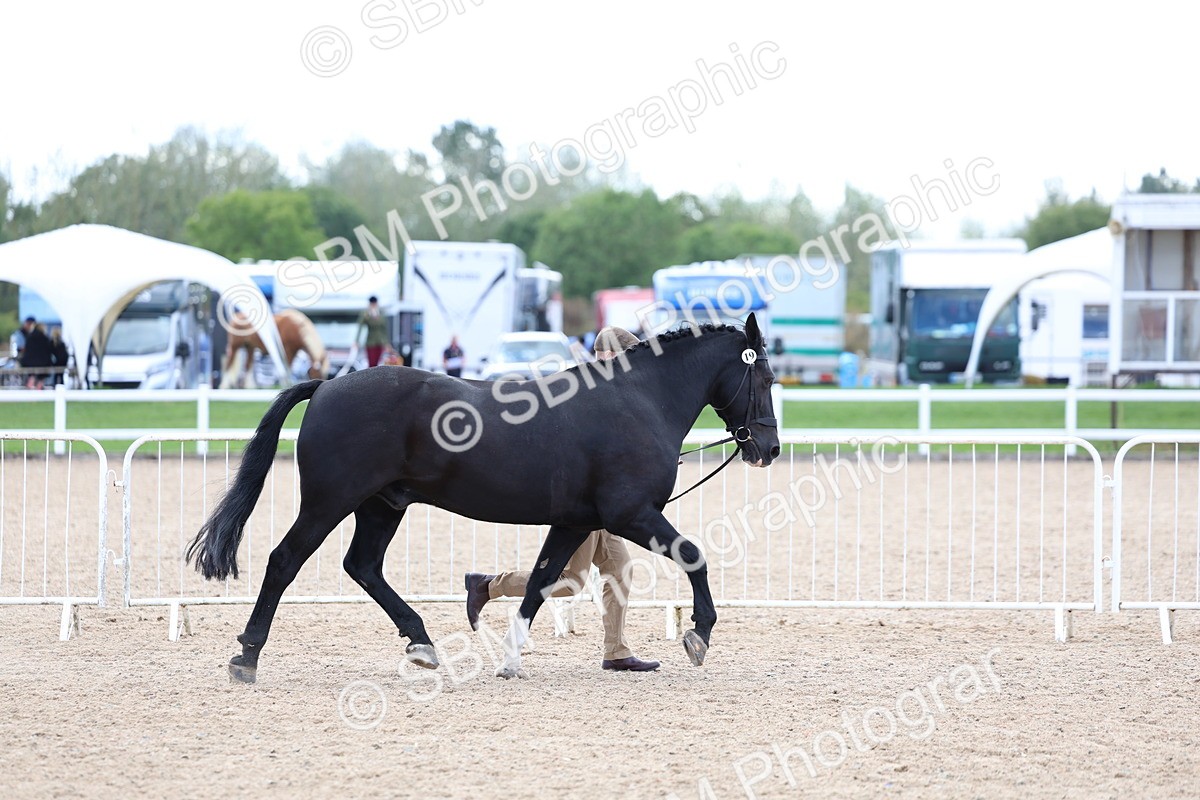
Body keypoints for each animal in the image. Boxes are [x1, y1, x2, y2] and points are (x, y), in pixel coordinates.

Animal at [187, 314, 780, 683]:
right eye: (767, 377)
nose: (769, 448)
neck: (638, 401)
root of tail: (328, 384)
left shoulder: (573, 522)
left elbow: (539, 583)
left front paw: (511, 660)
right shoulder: (630, 514)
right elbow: (694, 555)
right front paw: (699, 633)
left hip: (382, 506)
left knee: (363, 566)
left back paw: (421, 643)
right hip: (329, 503)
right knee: (284, 561)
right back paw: (247, 655)